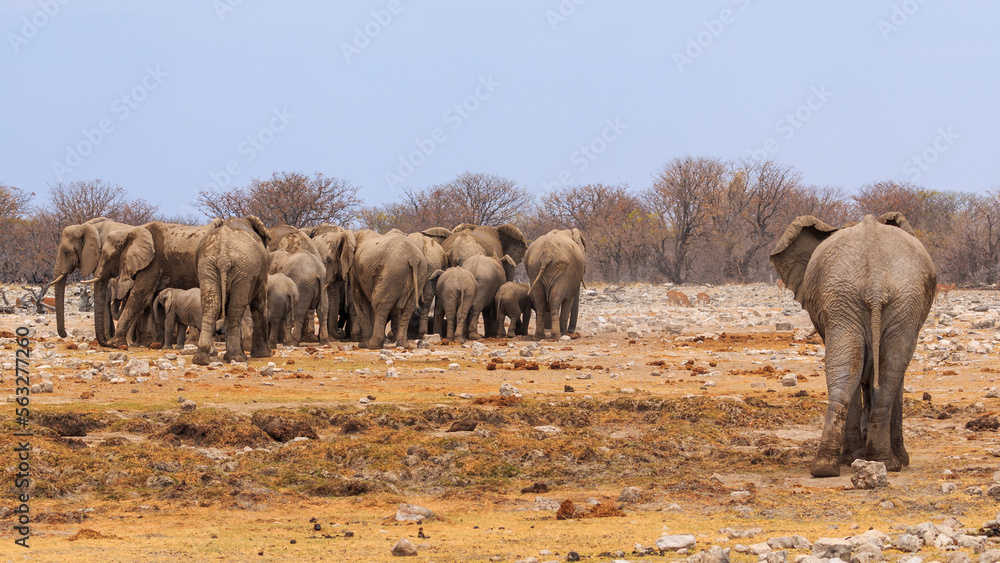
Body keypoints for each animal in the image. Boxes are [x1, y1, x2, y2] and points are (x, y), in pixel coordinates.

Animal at [193, 216, 271, 365]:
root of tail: (223, 257)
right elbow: (259, 304)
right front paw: (263, 355)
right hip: (244, 271)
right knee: (234, 310)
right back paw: (237, 358)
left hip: (207, 266)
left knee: (212, 306)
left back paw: (200, 359)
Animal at [770, 213, 936, 477]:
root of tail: (875, 284)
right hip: (858, 300)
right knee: (875, 372)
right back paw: (875, 461)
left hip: (881, 301)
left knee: (856, 371)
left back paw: (832, 467)